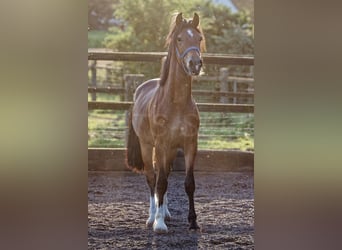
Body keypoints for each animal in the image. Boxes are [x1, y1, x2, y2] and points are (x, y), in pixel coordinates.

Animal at [126, 12, 204, 233]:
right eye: (179, 39)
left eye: (199, 38)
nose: (195, 64)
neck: (176, 102)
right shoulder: (160, 144)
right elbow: (159, 182)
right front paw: (159, 224)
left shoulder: (189, 144)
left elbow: (188, 183)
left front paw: (193, 221)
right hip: (147, 146)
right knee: (152, 178)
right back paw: (153, 216)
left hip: (169, 150)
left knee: (164, 174)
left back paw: (166, 212)